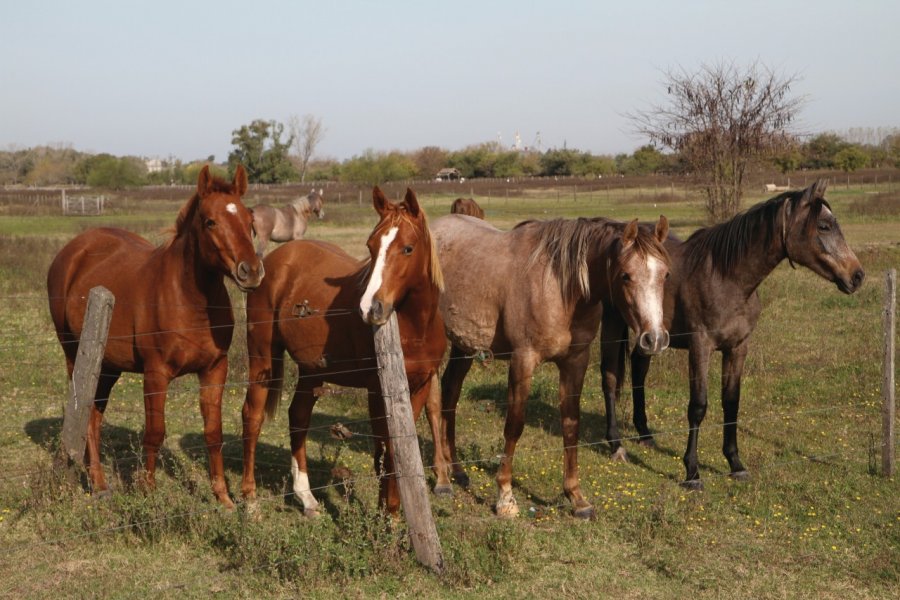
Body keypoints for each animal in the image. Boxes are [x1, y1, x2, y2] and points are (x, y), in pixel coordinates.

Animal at [47, 165, 264, 506]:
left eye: (249, 220)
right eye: (210, 221)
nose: (251, 271)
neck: (188, 300)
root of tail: (73, 251)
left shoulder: (215, 370)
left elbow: (213, 433)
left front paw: (223, 497)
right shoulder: (156, 373)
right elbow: (154, 432)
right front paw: (147, 491)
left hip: (108, 367)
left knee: (94, 417)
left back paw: (99, 482)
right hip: (75, 357)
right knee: (84, 414)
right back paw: (99, 483)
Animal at [243, 188, 446, 516]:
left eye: (408, 248)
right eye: (370, 246)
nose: (370, 307)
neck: (416, 327)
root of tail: (274, 261)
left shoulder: (420, 387)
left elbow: (401, 448)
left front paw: (394, 511)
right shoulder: (378, 390)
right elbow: (386, 448)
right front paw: (387, 514)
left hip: (311, 369)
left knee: (298, 416)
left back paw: (307, 498)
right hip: (262, 358)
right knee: (253, 416)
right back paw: (249, 500)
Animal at [432, 211, 672, 516]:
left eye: (666, 274)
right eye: (625, 275)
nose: (655, 338)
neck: (560, 289)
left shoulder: (575, 362)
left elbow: (570, 424)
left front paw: (576, 497)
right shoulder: (523, 361)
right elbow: (514, 425)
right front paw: (505, 496)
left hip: (464, 345)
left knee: (450, 392)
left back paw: (458, 471)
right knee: (431, 403)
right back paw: (441, 480)